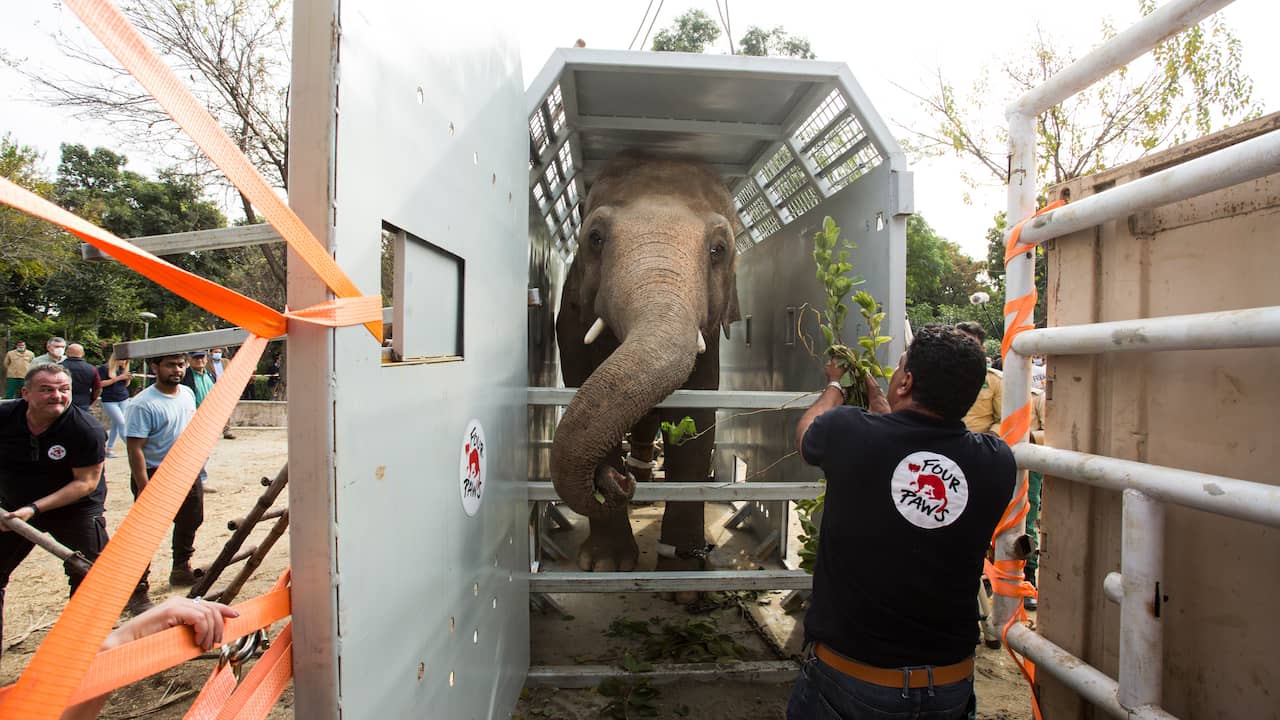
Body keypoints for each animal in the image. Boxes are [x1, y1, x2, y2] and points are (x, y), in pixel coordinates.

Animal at [550, 151, 742, 584]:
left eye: (719, 249)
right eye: (595, 238)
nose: (619, 482)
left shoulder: (709, 344)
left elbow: (695, 425)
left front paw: (684, 579)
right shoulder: (569, 324)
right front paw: (605, 566)